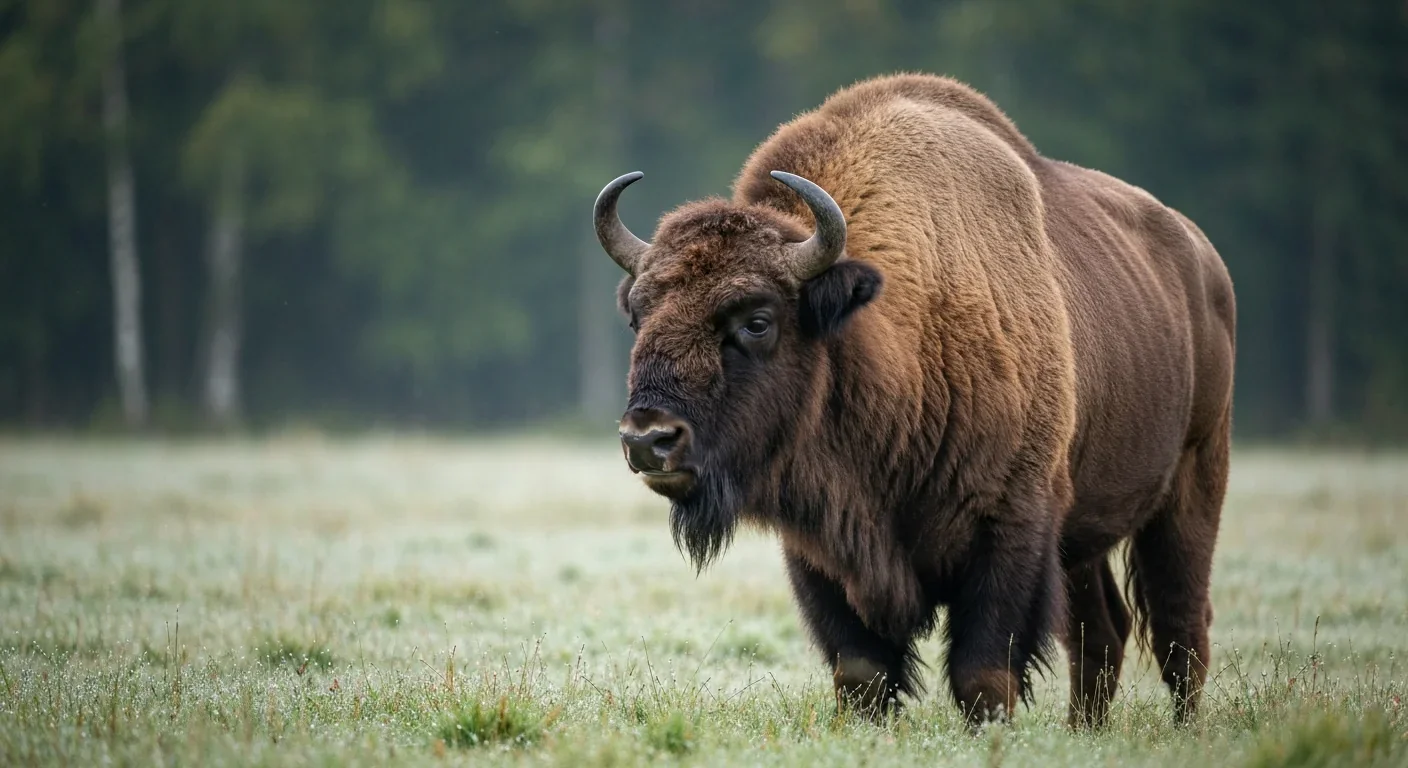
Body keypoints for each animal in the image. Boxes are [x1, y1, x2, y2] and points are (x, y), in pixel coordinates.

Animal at [593, 73, 1235, 728]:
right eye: (638, 315)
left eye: (757, 321)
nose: (648, 439)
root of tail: (1204, 261)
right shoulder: (819, 552)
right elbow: (862, 673)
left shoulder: (1012, 527)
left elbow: (983, 676)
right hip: (1086, 531)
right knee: (1103, 629)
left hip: (1194, 479)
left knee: (1180, 623)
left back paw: (1184, 729)